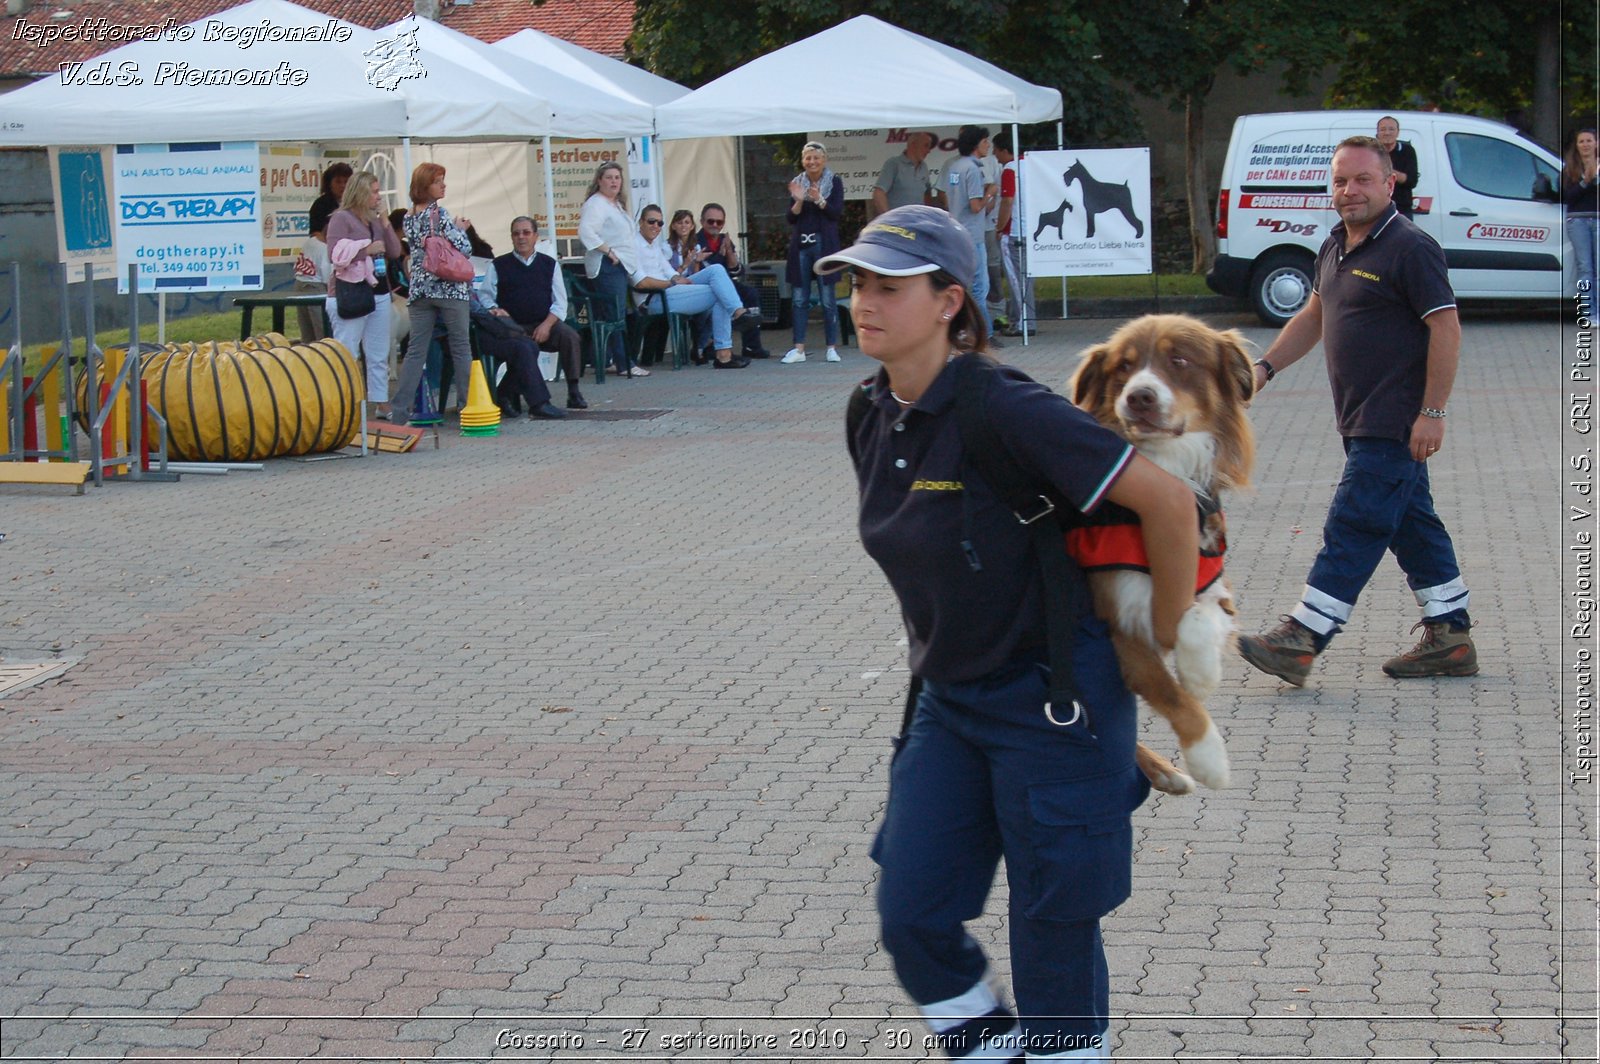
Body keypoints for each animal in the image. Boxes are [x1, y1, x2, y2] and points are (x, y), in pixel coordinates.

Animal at [1068, 312, 1254, 793]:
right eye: (1123, 367)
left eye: (1180, 360)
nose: (1140, 397)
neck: (1165, 465)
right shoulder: (1116, 618)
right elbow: (1171, 694)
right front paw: (1209, 758)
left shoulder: (1211, 579)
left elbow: (1200, 616)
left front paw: (1201, 672)